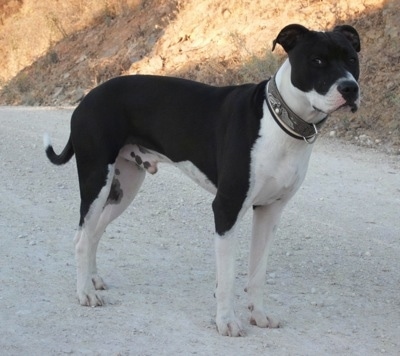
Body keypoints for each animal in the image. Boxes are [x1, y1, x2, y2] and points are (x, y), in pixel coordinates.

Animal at [43, 24, 360, 336]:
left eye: (352, 58)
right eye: (317, 60)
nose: (350, 88)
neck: (280, 120)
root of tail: (87, 98)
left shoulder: (269, 211)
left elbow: (257, 272)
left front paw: (258, 315)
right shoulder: (226, 208)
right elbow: (228, 276)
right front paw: (226, 321)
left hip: (124, 188)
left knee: (93, 232)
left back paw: (93, 279)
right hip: (96, 179)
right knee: (82, 238)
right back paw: (85, 293)